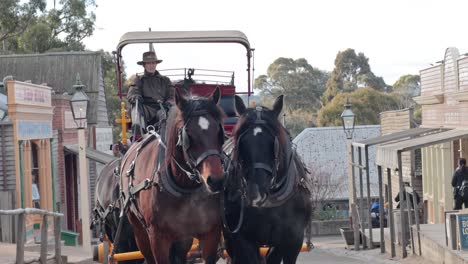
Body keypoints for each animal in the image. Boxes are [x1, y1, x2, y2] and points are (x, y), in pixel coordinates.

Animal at [119, 87, 225, 264]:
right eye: (189, 134)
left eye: (219, 131)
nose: (216, 180)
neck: (184, 186)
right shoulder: (158, 238)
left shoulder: (210, 234)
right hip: (139, 231)